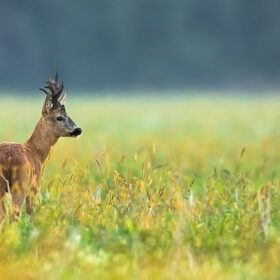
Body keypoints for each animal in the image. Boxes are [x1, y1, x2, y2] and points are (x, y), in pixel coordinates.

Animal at [0, 74, 82, 219]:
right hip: (20, 184)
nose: (78, 130)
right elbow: (31, 211)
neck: (35, 152)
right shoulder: (35, 184)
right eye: (59, 117)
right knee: (14, 213)